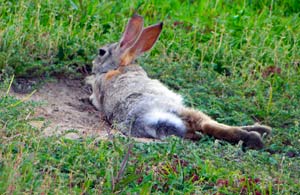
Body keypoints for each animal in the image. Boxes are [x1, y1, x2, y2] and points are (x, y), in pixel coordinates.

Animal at [85, 14, 270, 149]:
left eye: (101, 52)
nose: (93, 63)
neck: (115, 68)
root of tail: (149, 121)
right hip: (182, 110)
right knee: (208, 124)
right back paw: (259, 134)